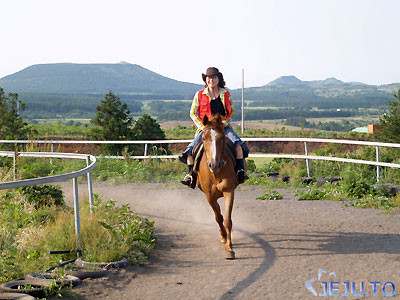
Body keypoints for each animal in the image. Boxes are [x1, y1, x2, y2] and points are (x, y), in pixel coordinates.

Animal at [196, 113, 238, 258]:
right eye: (203, 138)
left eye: (221, 138)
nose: (214, 164)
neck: (215, 173)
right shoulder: (209, 196)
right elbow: (218, 217)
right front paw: (224, 237)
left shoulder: (229, 191)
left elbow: (227, 220)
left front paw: (229, 249)